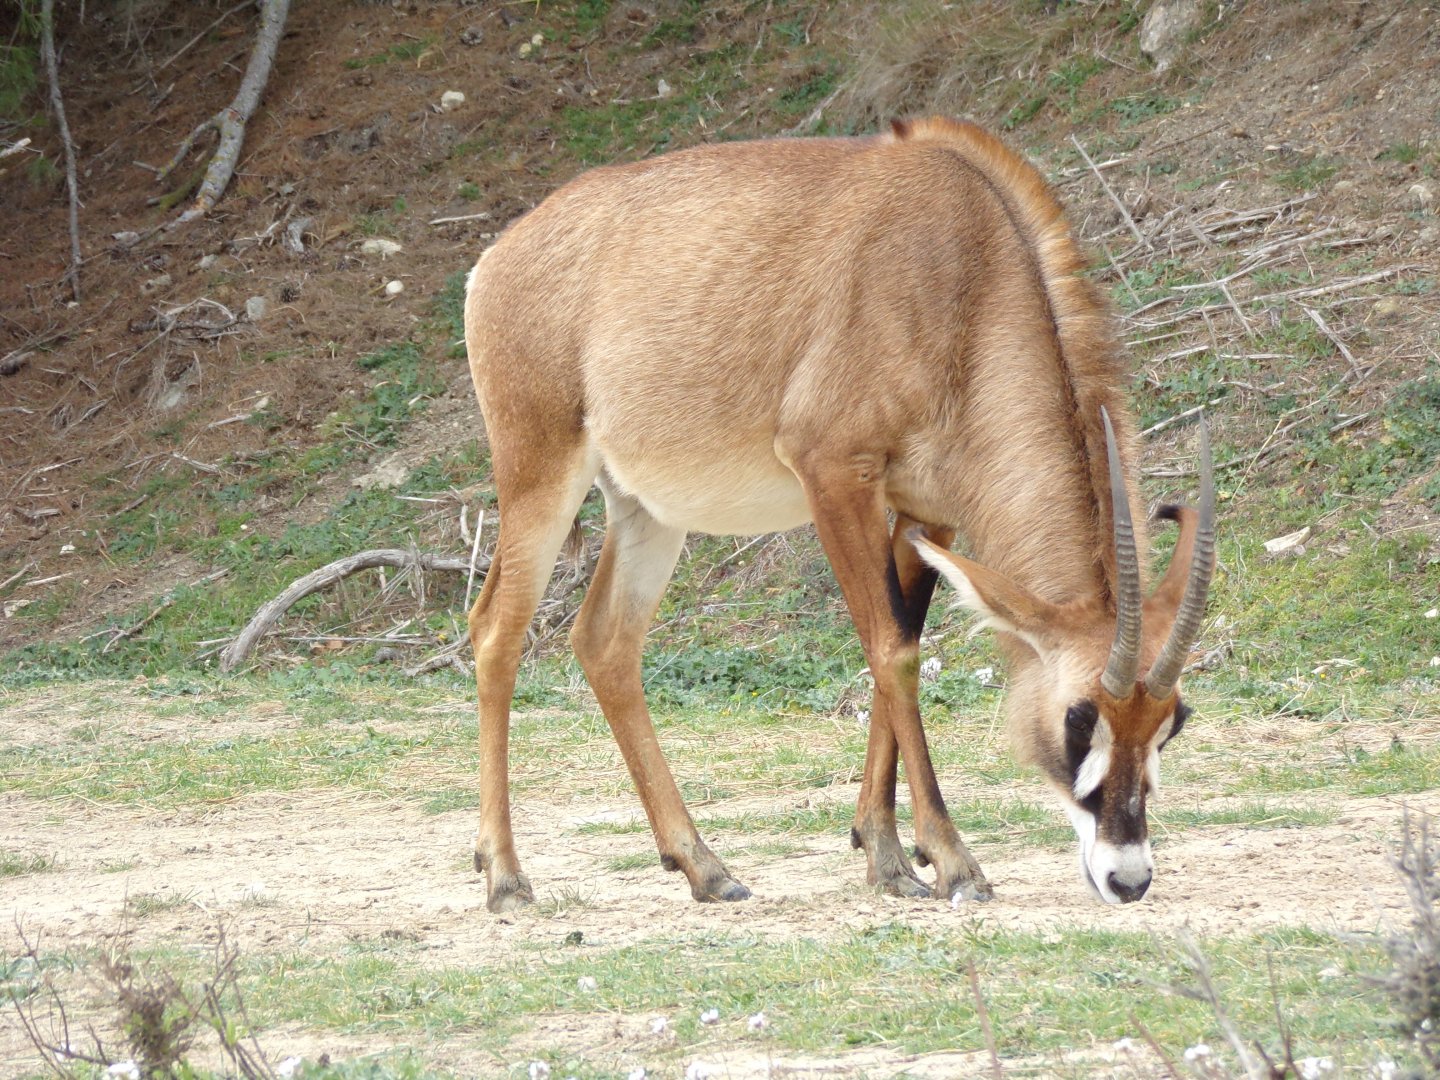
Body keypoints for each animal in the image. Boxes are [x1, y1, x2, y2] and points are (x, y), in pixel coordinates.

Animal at [462, 116, 1216, 912]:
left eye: (1173, 722)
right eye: (1079, 716)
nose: (1127, 876)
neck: (969, 272)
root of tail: (493, 264)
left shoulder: (924, 509)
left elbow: (903, 643)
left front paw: (885, 854)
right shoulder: (833, 471)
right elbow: (891, 651)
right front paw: (952, 862)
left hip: (645, 508)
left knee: (606, 641)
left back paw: (704, 866)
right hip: (539, 473)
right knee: (496, 631)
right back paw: (506, 875)